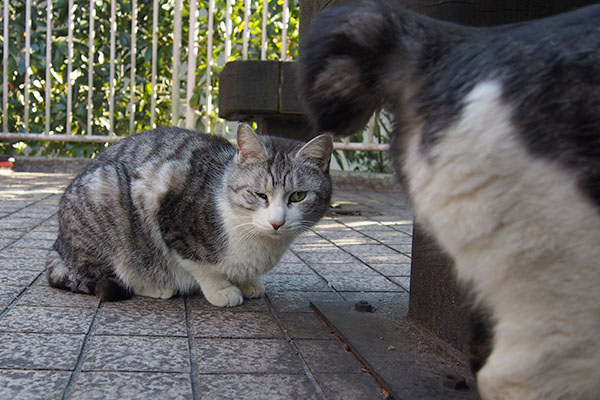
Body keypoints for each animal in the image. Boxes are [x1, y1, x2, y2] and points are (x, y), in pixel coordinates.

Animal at [47, 126, 332, 308]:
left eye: (298, 196)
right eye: (259, 194)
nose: (277, 222)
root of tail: (57, 244)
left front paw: (248, 283)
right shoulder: (168, 208)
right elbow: (200, 265)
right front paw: (222, 289)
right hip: (106, 190)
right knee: (102, 275)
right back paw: (153, 286)